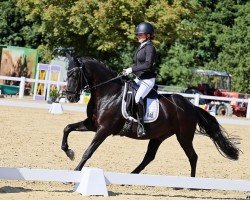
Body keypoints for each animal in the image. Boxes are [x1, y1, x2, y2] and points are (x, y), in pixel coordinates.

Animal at [61, 54, 240, 177]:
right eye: (67, 74)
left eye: (74, 75)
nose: (70, 97)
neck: (108, 93)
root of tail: (191, 106)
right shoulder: (92, 125)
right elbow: (67, 128)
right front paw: (69, 152)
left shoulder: (104, 129)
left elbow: (89, 151)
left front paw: (76, 170)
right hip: (159, 136)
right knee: (149, 157)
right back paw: (131, 176)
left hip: (183, 136)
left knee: (193, 156)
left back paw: (191, 183)